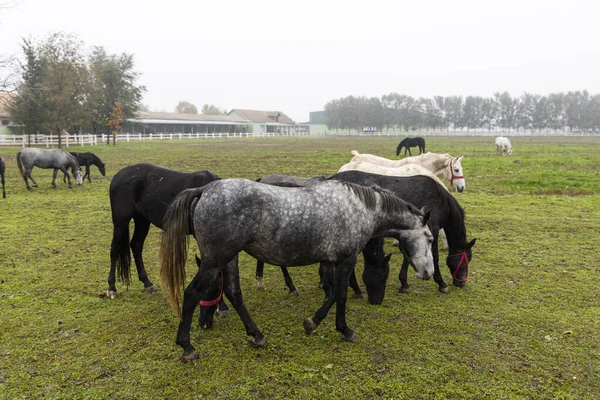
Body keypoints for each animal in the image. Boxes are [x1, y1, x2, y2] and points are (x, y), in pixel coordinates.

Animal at [108, 164, 220, 298]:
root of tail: (118, 176)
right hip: (121, 222)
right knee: (115, 248)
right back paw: (112, 288)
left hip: (142, 220)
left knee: (136, 245)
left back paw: (147, 283)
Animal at [157, 177, 434, 360]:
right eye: (430, 238)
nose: (429, 273)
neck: (360, 208)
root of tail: (204, 190)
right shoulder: (346, 260)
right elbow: (340, 295)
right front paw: (344, 330)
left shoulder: (331, 261)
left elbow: (331, 294)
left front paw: (312, 322)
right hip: (216, 260)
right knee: (191, 294)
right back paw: (187, 347)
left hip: (229, 258)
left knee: (234, 293)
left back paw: (256, 335)